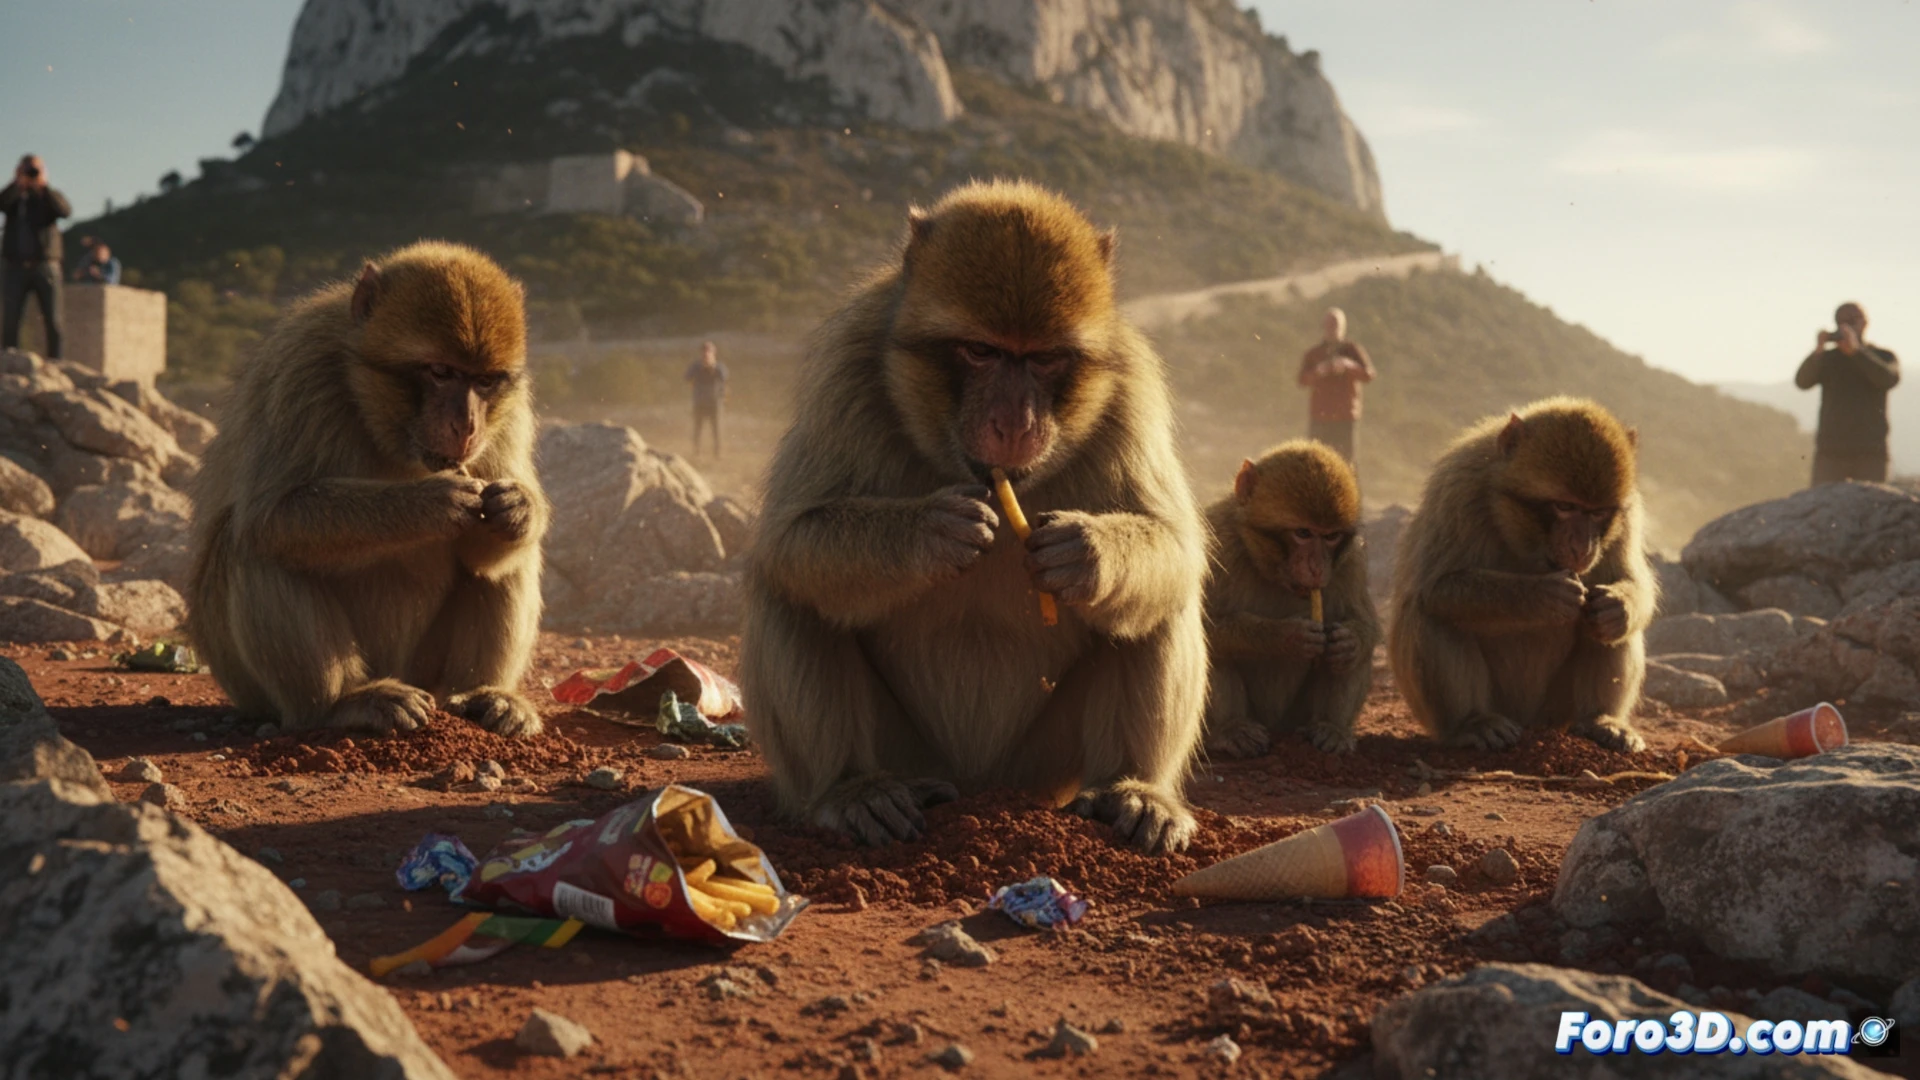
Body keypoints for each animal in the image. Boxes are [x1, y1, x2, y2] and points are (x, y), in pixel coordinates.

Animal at [186, 241, 549, 738]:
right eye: (440, 371)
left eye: (484, 381)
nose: (467, 426)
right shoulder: (300, 370)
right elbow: (272, 514)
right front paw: (429, 503)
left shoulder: (509, 411)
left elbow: (486, 547)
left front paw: (517, 509)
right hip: (246, 683)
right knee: (254, 546)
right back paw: (339, 704)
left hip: (427, 671)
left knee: (505, 565)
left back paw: (484, 695)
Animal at [740, 179, 1208, 853]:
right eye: (981, 351)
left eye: (1043, 359)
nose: (1014, 423)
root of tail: (979, 783)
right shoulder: (846, 367)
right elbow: (789, 534)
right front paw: (931, 534)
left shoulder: (1131, 389)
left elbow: (1175, 544)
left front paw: (1083, 552)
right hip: (913, 753)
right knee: (793, 590)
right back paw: (850, 790)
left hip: (1042, 769)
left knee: (1156, 606)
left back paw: (1133, 789)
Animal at [1201, 441, 1379, 758]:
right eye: (1303, 533)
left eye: (1331, 536)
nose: (1317, 567)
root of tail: (1277, 726)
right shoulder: (1217, 544)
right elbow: (1201, 626)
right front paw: (1286, 636)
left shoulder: (1352, 561)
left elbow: (1365, 626)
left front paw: (1350, 641)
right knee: (1215, 649)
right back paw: (1231, 729)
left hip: (1297, 716)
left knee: (1348, 660)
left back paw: (1331, 728)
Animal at [1388, 396, 1657, 753]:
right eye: (1564, 507)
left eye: (1597, 512)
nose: (1582, 547)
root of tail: (1529, 721)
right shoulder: (1460, 489)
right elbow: (1436, 587)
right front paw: (1543, 597)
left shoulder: (1627, 514)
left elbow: (1630, 584)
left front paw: (1618, 606)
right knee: (1433, 613)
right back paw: (1471, 723)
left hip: (1556, 712)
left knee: (1605, 629)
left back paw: (1601, 719)